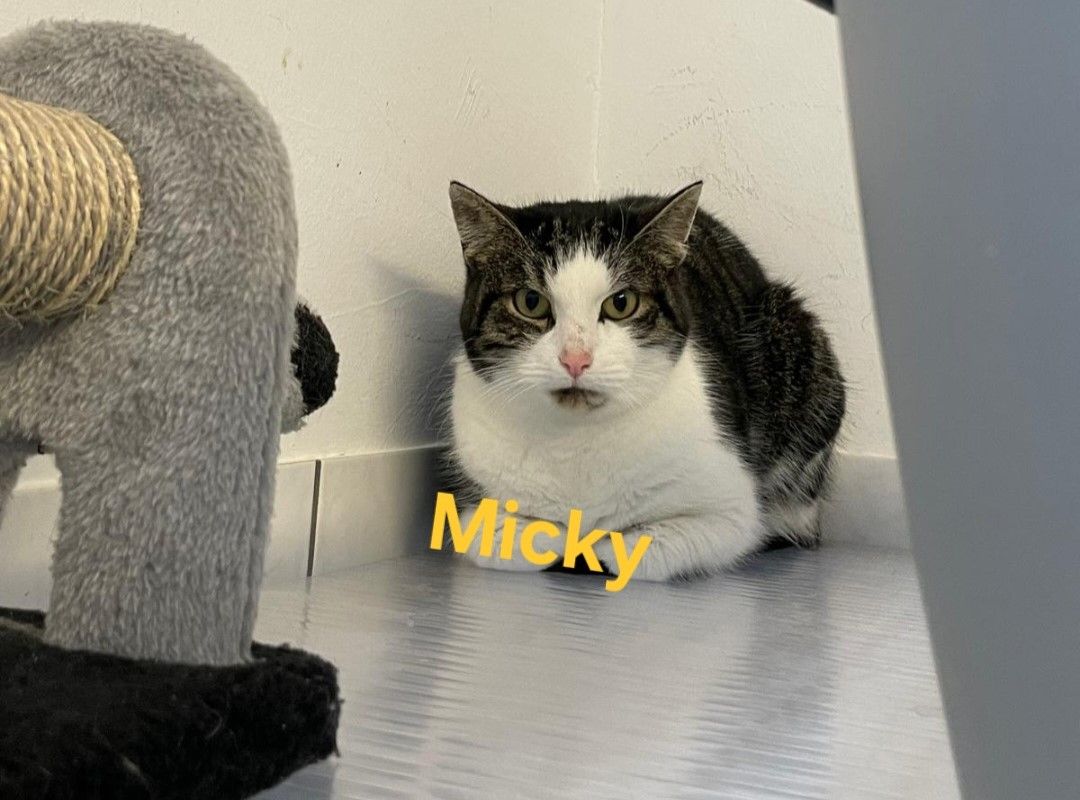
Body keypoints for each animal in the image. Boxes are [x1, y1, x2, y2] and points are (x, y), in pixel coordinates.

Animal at [444, 181, 845, 582]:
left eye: (621, 303)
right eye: (530, 301)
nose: (576, 359)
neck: (576, 443)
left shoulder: (730, 513)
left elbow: (640, 547)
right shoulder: (475, 511)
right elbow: (521, 538)